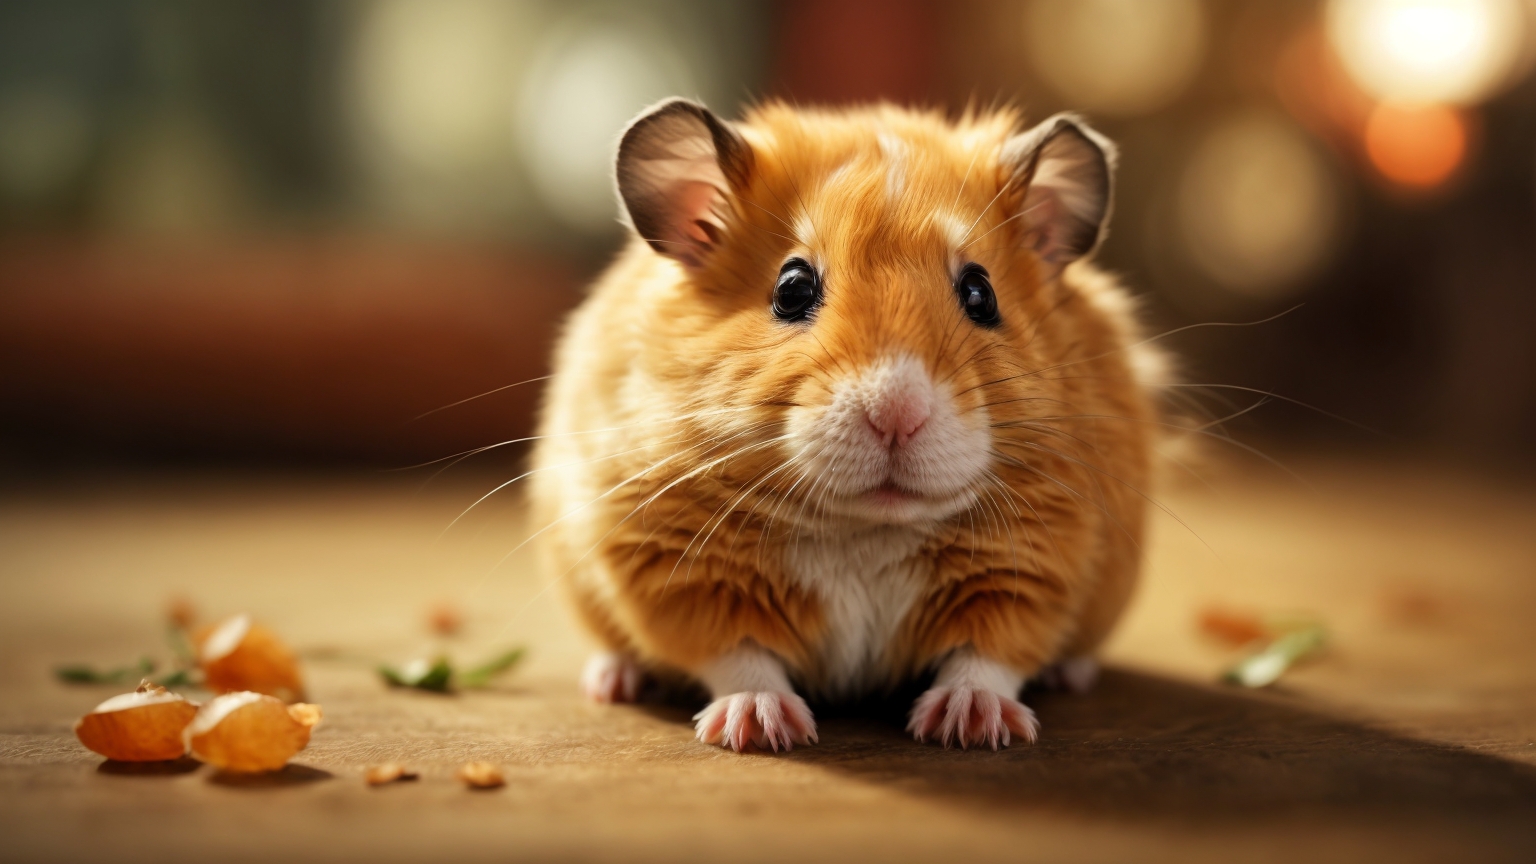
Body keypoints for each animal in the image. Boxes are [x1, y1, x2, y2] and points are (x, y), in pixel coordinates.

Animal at [530, 99, 1164, 752]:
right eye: (792, 289)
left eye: (980, 294)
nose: (896, 413)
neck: (863, 528)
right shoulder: (672, 566)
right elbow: (739, 655)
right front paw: (762, 728)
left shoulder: (1039, 566)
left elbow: (989, 654)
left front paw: (967, 725)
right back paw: (614, 681)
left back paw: (1067, 677)